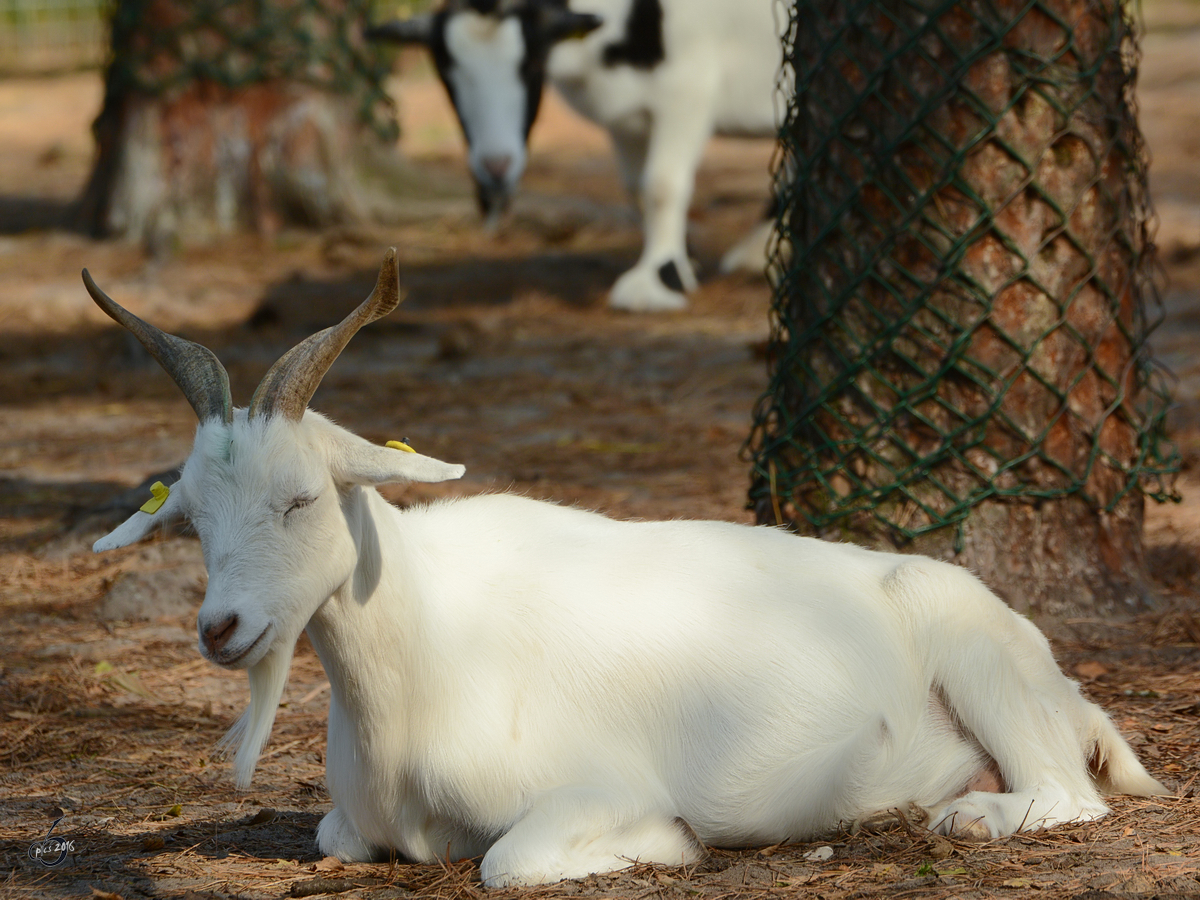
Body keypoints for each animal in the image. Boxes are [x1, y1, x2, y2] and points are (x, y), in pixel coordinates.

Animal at [88, 250, 1166, 892]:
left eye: (302, 499)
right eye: (190, 517)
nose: (221, 629)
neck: (422, 649)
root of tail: (1066, 690)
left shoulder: (593, 787)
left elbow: (510, 861)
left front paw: (662, 844)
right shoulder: (349, 824)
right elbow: (332, 838)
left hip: (978, 660)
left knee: (1067, 794)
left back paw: (966, 816)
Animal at [369, 0, 782, 312]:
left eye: (532, 65)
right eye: (446, 73)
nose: (496, 167)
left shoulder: (687, 88)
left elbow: (662, 185)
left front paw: (659, 279)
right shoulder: (628, 117)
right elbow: (635, 188)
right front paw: (682, 260)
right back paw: (756, 250)